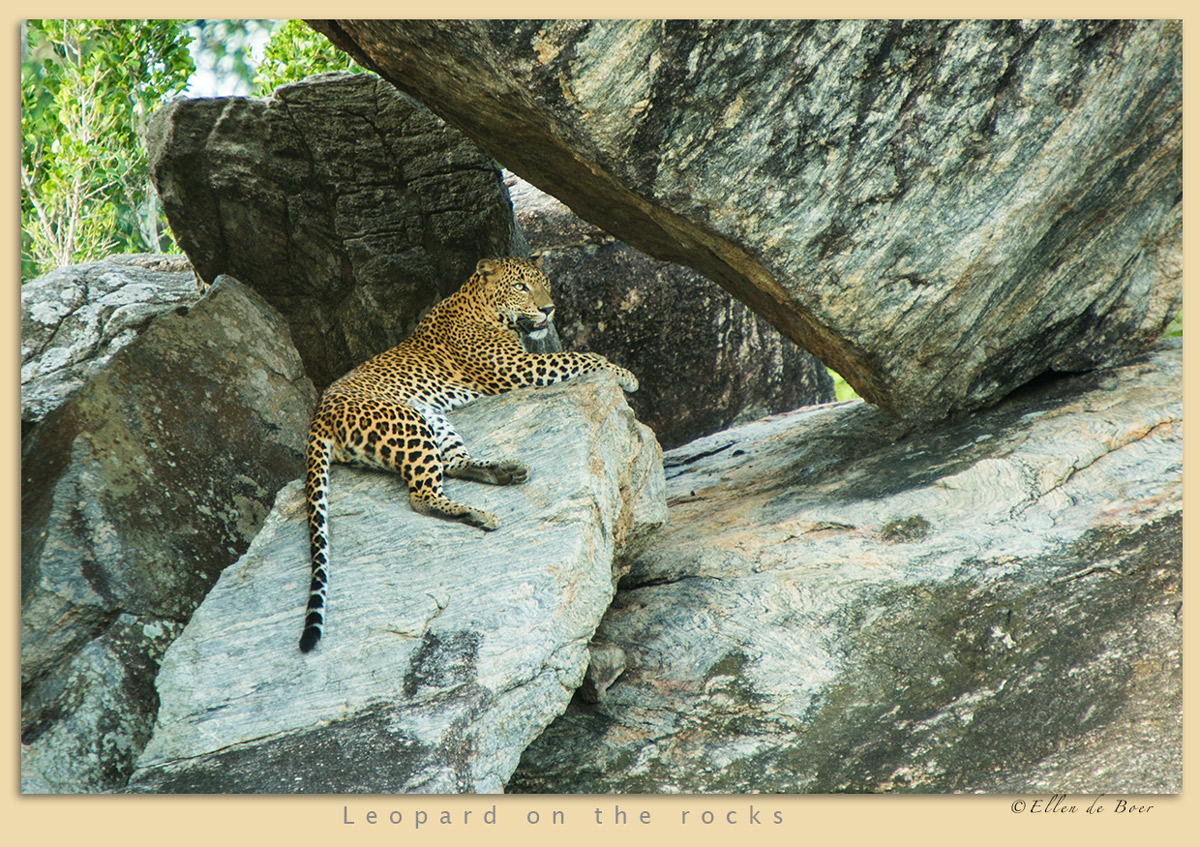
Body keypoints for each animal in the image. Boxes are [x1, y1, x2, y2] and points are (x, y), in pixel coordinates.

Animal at [299, 256, 638, 652]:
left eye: (546, 283)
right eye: (521, 286)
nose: (548, 309)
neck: (482, 305)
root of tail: (318, 417)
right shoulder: (522, 369)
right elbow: (576, 357)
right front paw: (624, 373)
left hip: (432, 417)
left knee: (453, 463)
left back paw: (503, 471)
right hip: (409, 424)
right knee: (422, 496)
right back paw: (477, 515)